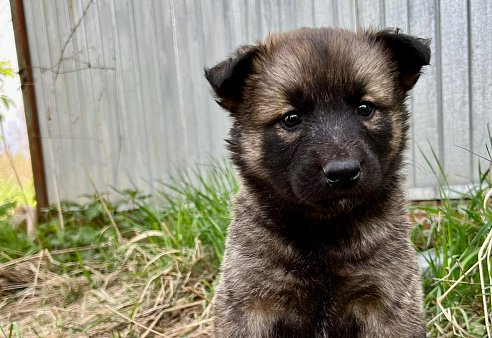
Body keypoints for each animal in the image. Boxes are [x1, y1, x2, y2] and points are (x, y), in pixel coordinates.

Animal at [206, 27, 428, 336]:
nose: (343, 172)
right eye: (291, 118)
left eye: (365, 108)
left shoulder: (387, 301)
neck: (324, 231)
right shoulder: (251, 303)